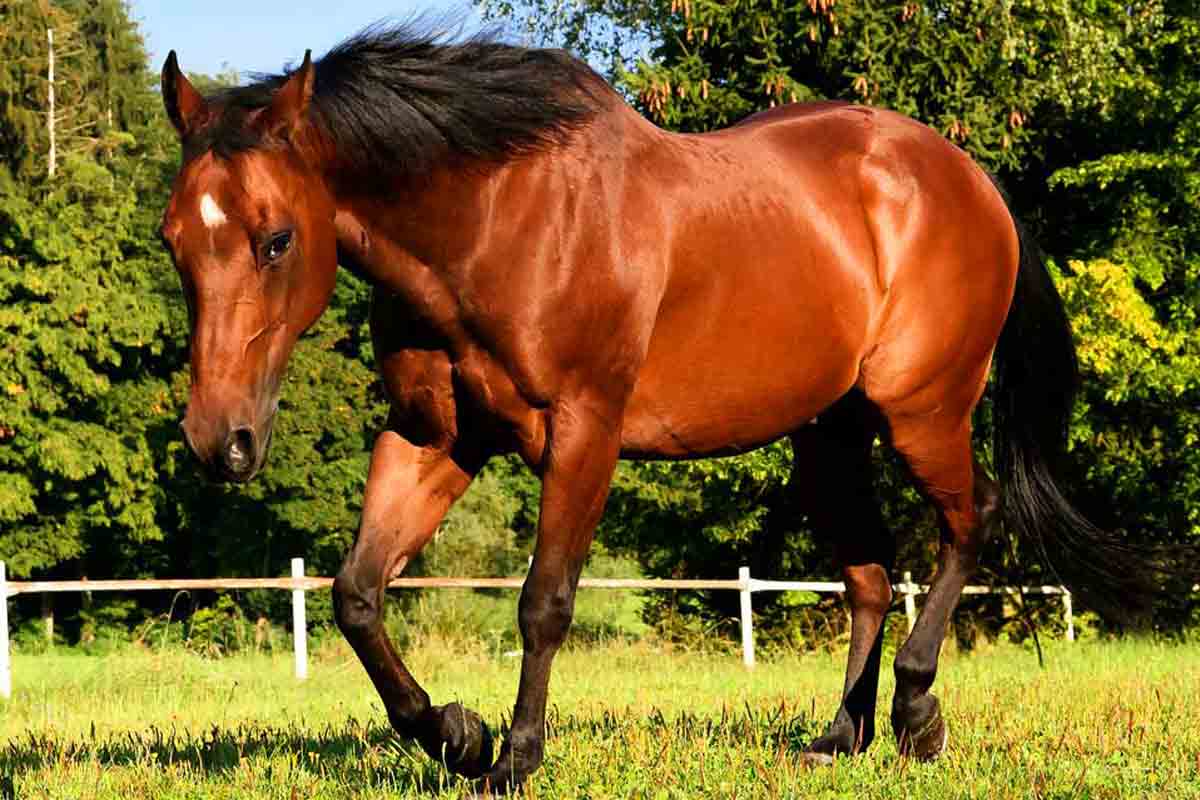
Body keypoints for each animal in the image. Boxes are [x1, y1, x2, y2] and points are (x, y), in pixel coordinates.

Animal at [157, 24, 1155, 793]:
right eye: (173, 241)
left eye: (276, 238)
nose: (219, 441)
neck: (493, 220)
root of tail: (973, 183)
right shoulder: (431, 439)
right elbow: (358, 596)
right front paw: (455, 735)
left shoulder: (584, 433)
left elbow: (544, 601)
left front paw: (514, 758)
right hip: (827, 436)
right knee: (869, 574)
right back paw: (840, 737)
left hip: (924, 410)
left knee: (969, 520)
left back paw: (917, 711)